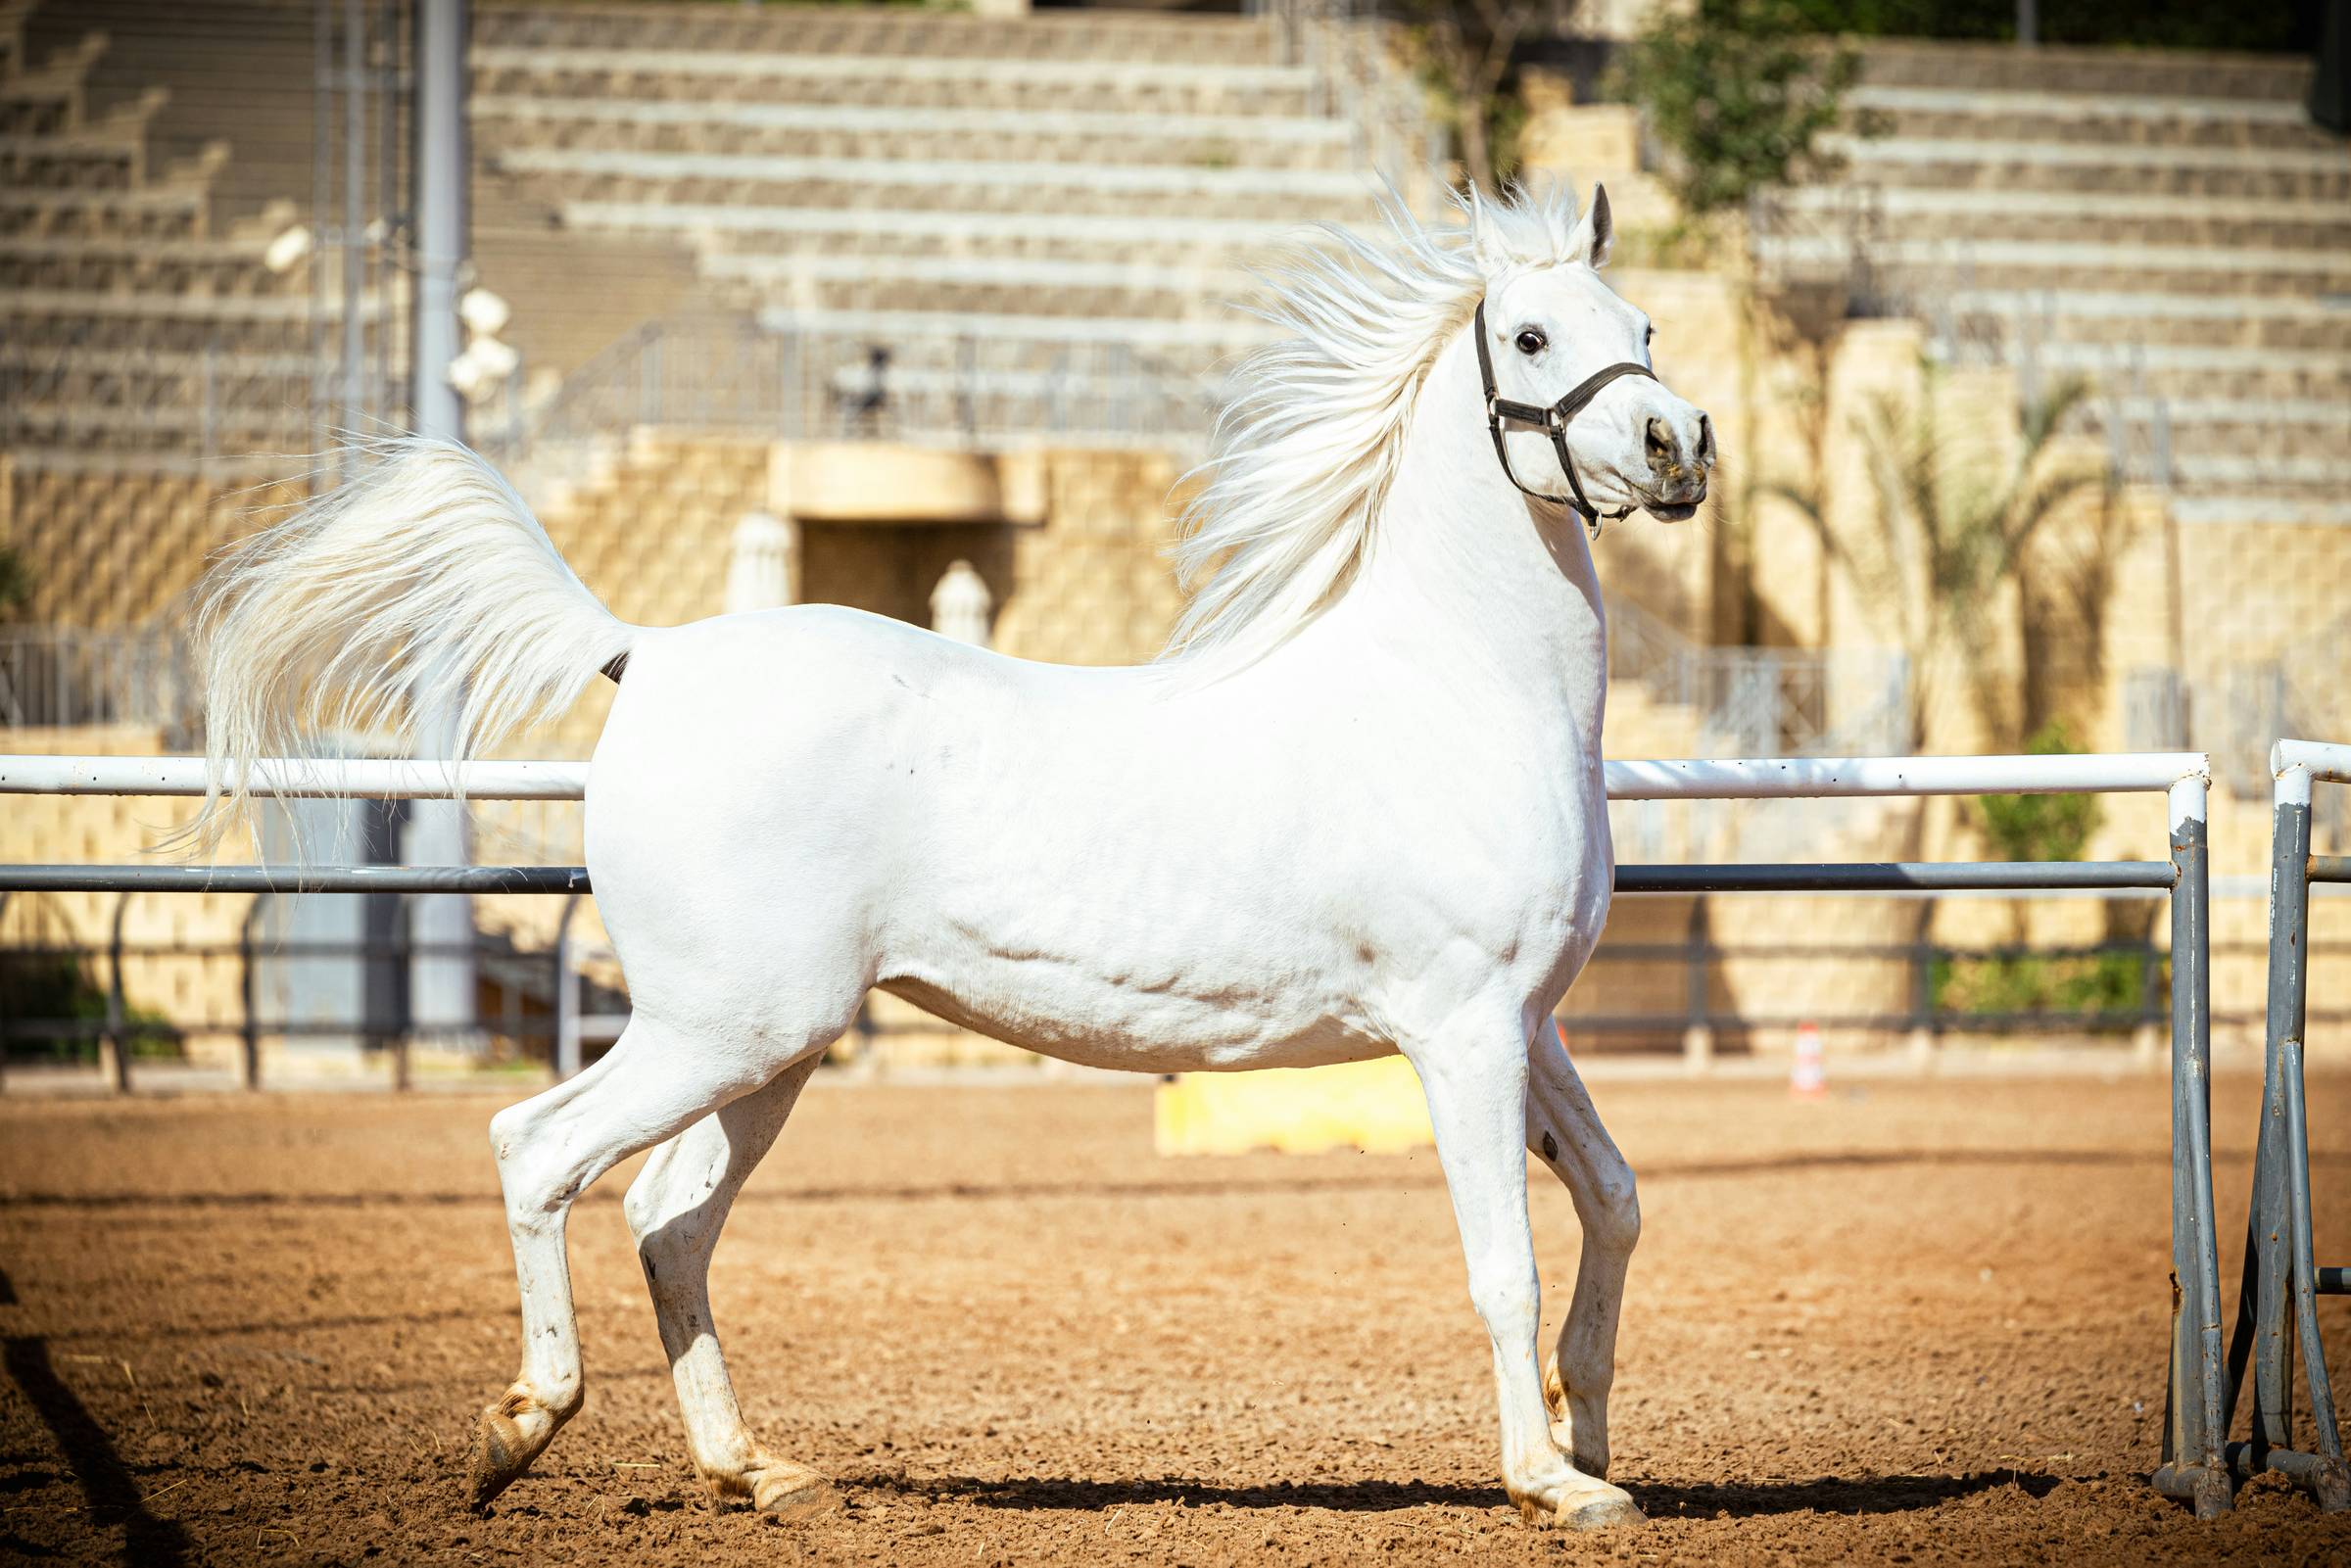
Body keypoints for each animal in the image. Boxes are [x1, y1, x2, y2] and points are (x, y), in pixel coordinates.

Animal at [188, 183, 1714, 1532]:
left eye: (1640, 320)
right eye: (1532, 337)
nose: (1677, 442)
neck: (1454, 687)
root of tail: (652, 653)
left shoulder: (1532, 1024)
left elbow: (1619, 1198)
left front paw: (1592, 1431)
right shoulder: (1461, 1030)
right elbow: (1505, 1262)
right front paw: (1556, 1485)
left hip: (767, 1048)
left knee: (668, 1216)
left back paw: (757, 1473)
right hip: (725, 1028)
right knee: (540, 1149)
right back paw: (517, 1431)